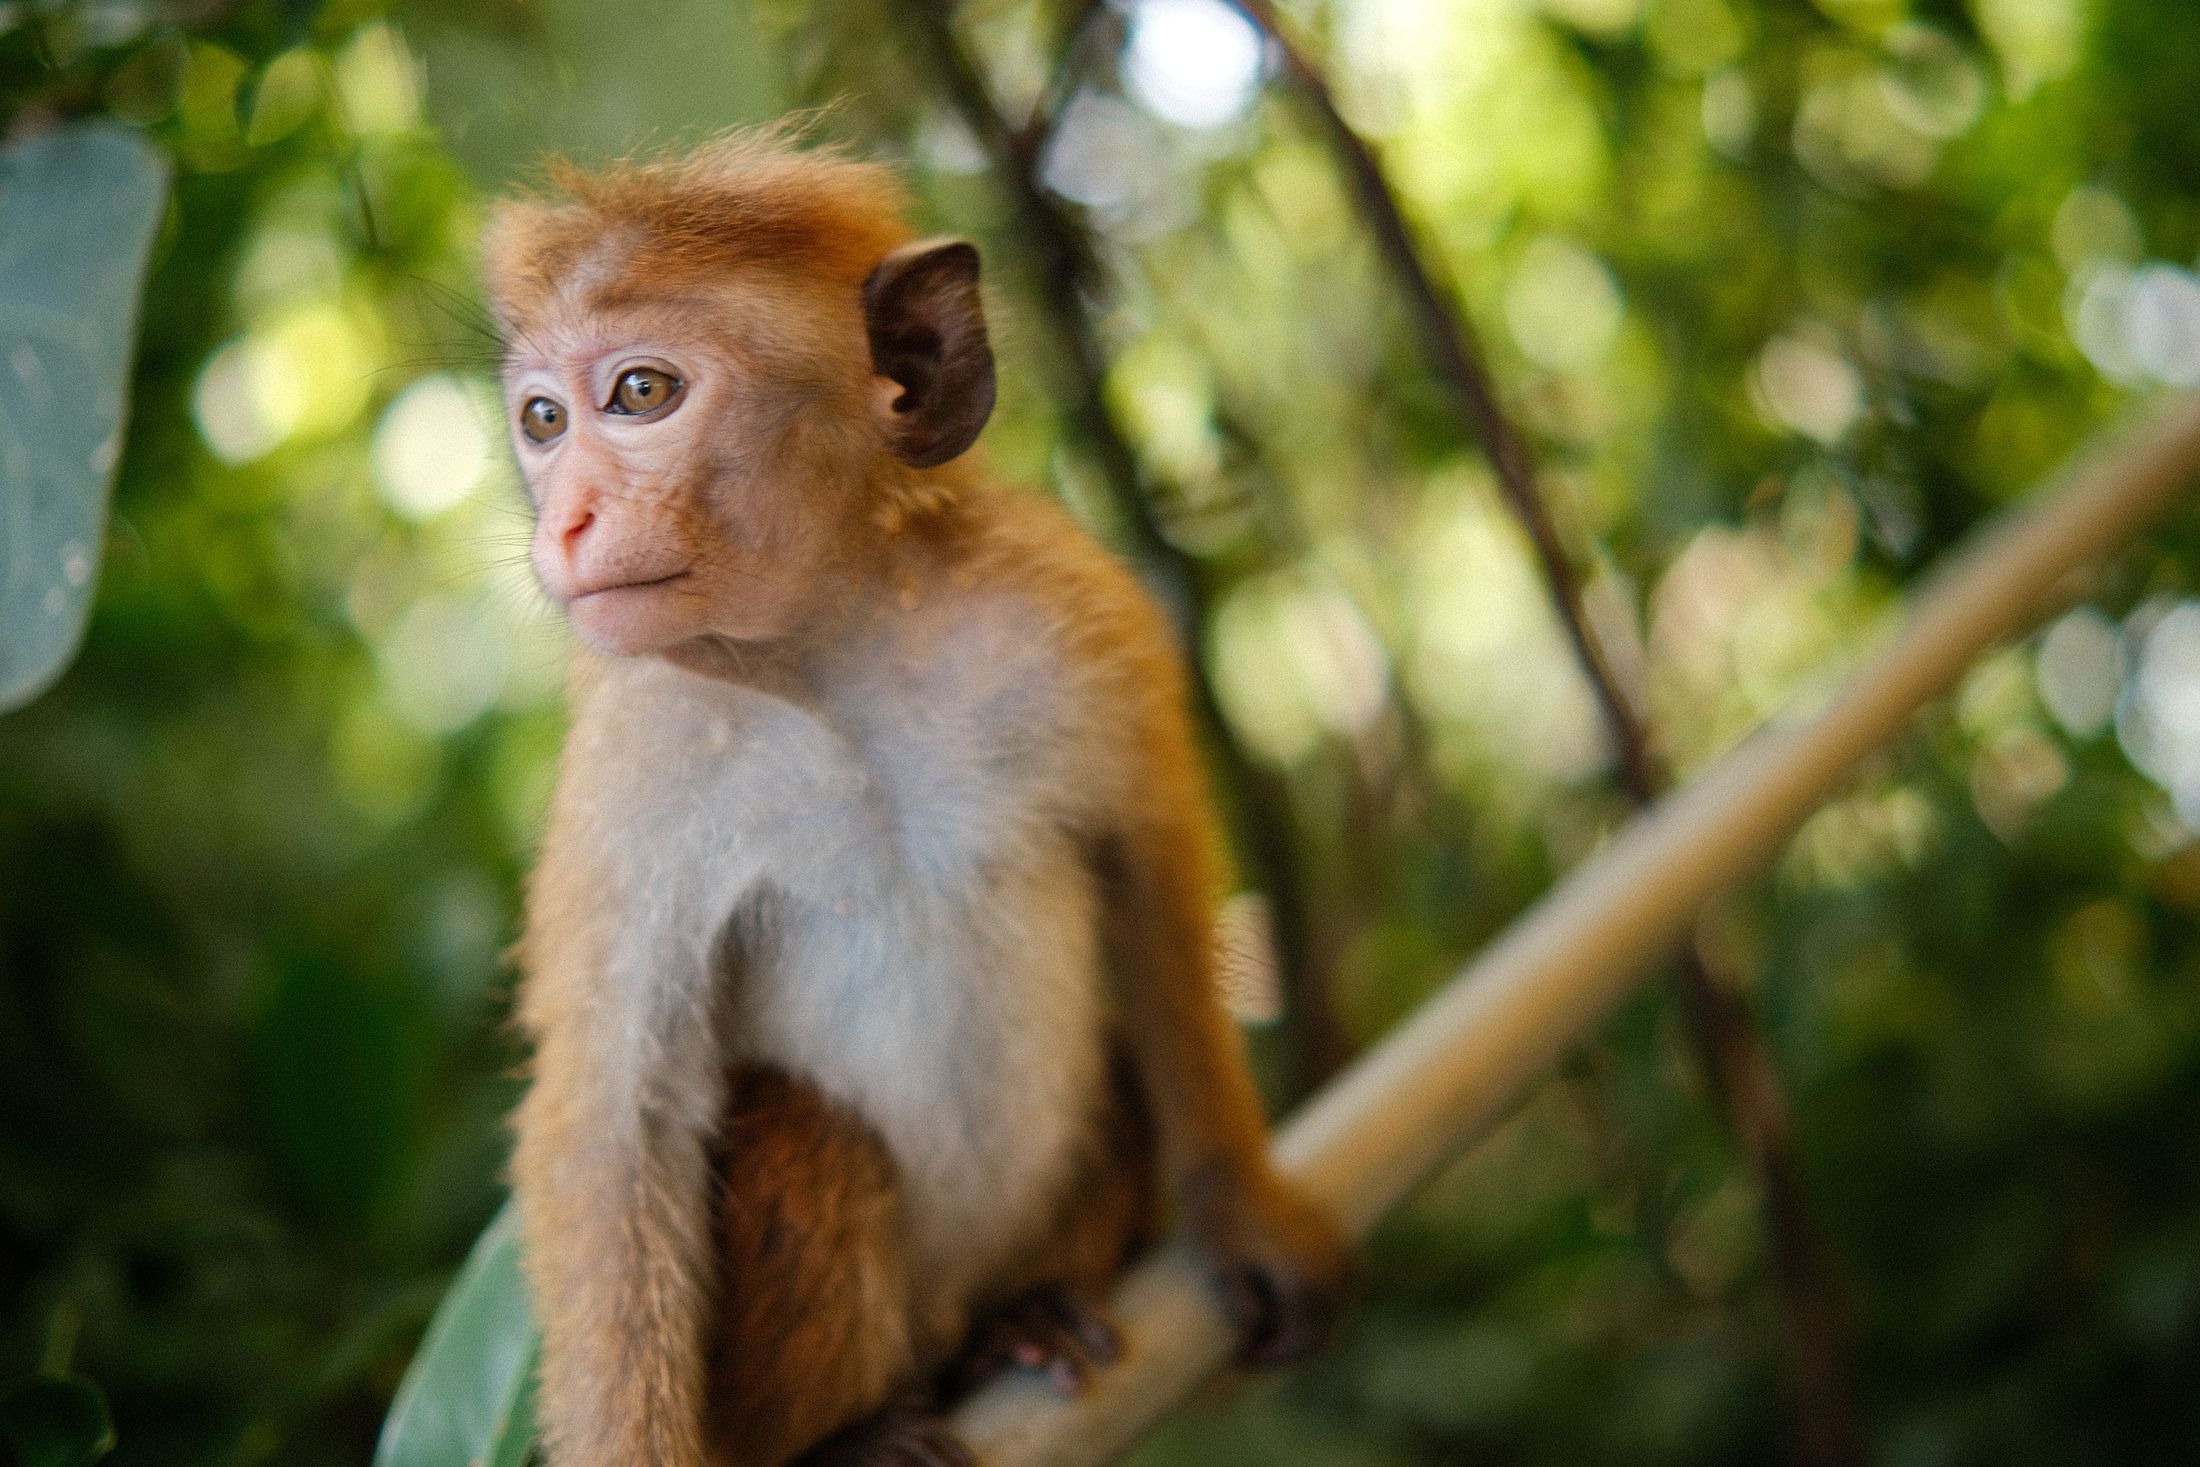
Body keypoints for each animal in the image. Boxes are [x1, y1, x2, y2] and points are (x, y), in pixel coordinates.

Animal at [487, 133, 1352, 1467]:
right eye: (541, 420)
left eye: (637, 394)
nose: (570, 519)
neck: (828, 657)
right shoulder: (632, 776)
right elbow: (619, 1125)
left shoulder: (1069, 611)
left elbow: (1147, 870)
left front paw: (1242, 1216)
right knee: (809, 1133)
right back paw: (848, 1434)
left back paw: (1024, 1319)